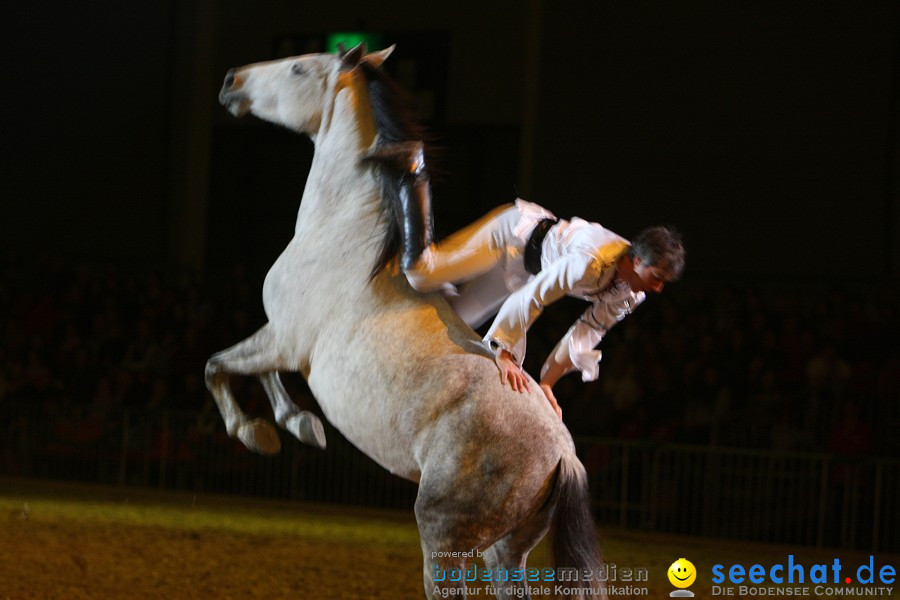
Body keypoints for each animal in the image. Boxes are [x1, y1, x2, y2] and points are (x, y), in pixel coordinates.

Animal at [207, 43, 604, 600]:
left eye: (299, 67)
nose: (231, 80)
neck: (343, 234)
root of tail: (564, 456)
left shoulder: (283, 337)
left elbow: (217, 366)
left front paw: (254, 432)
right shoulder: (283, 341)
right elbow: (261, 375)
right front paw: (300, 425)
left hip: (443, 536)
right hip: (506, 551)